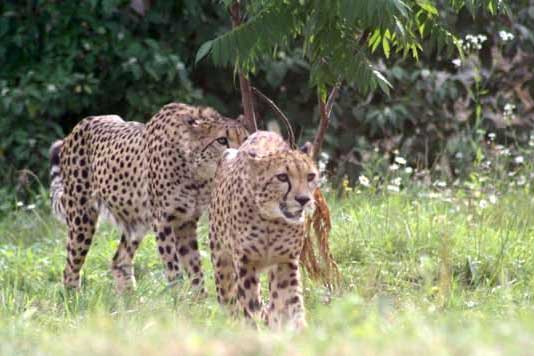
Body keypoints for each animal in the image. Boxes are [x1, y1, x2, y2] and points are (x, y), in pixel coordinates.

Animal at [50, 102, 249, 292]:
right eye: (222, 140)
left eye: (245, 139)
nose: (241, 157)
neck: (196, 174)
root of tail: (80, 124)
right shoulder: (163, 221)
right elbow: (174, 269)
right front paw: (178, 299)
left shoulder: (186, 222)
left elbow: (195, 268)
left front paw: (199, 301)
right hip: (82, 218)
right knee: (70, 269)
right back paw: (74, 300)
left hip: (135, 220)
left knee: (119, 260)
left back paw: (130, 300)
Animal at [208, 129, 318, 330]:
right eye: (282, 177)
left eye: (310, 176)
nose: (303, 199)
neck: (271, 220)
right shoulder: (245, 262)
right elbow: (250, 304)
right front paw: (255, 328)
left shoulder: (285, 262)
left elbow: (291, 301)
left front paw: (299, 330)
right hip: (221, 260)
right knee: (227, 297)